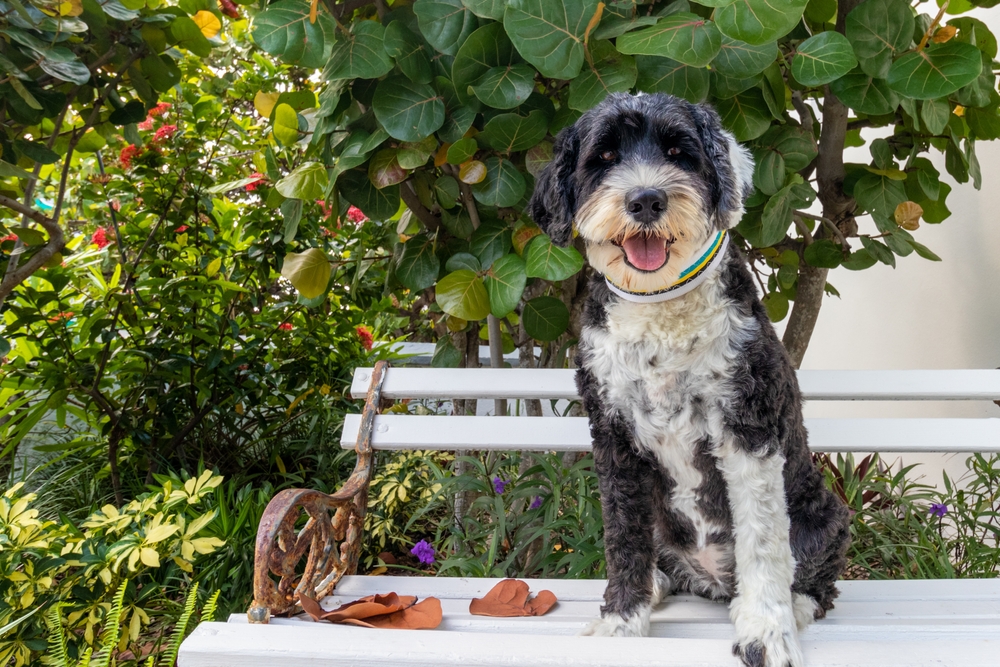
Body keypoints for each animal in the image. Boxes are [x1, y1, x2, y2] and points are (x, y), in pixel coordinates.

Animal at [528, 94, 848, 667]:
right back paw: (656, 583)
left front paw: (766, 632)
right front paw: (620, 623)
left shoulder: (748, 426)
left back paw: (792, 607)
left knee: (813, 580)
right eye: (604, 157)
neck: (661, 311)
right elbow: (623, 537)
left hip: (826, 513)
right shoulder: (613, 437)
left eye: (680, 152)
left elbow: (763, 541)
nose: (646, 199)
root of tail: (713, 583)